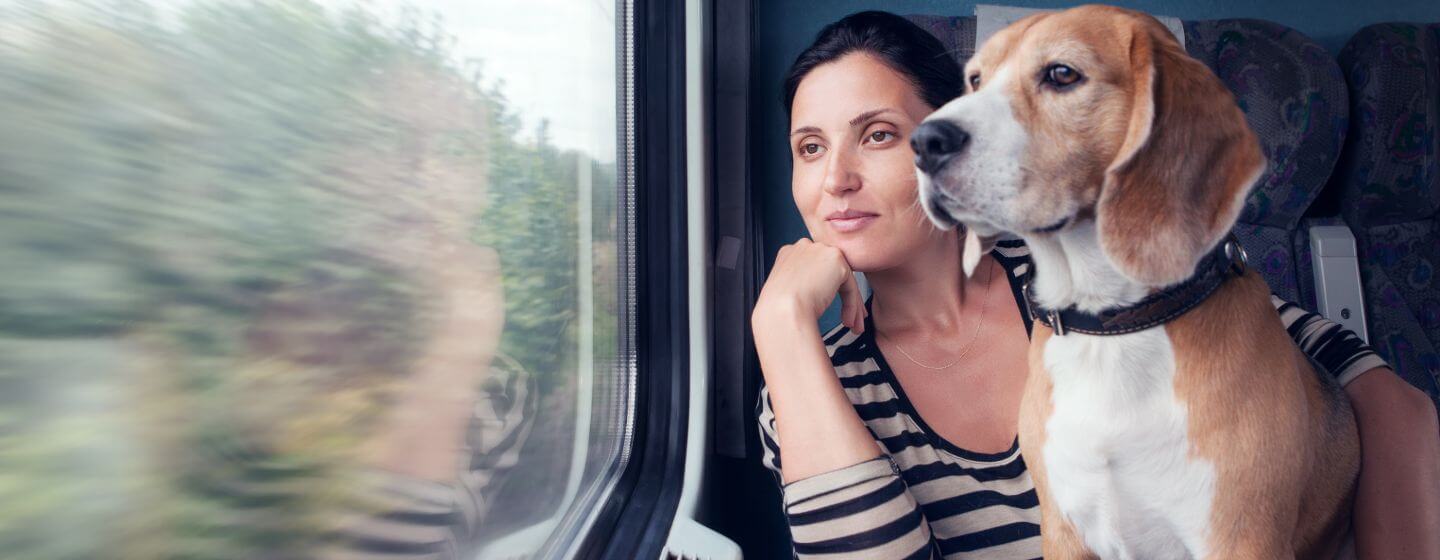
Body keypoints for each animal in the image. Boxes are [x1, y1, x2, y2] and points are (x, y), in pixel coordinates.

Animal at [915, 5, 1353, 558]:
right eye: (974, 79)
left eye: (1062, 74)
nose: (923, 142)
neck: (1111, 324)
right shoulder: (1064, 531)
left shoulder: (1241, 537)